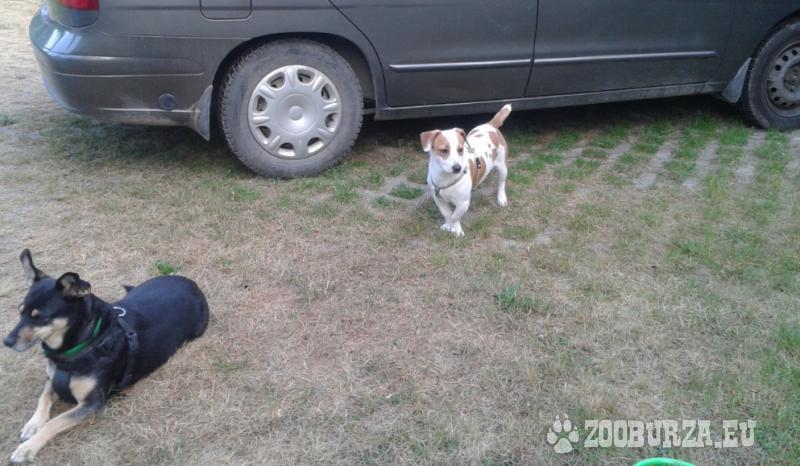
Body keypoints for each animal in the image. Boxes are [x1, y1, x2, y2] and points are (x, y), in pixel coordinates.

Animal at [4, 250, 209, 463]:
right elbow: (43, 398)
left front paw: (27, 448)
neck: (80, 346)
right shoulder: (52, 378)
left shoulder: (92, 403)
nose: (7, 341)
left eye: (40, 317)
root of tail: (191, 283)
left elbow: (55, 422)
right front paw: (32, 425)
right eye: (20, 312)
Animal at [420, 104, 512, 236]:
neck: (445, 177)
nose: (457, 168)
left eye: (460, 149)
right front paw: (447, 225)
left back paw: (501, 198)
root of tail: (490, 125)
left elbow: (455, 216)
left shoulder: (462, 203)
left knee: (501, 183)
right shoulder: (438, 199)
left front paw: (456, 229)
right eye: (443, 150)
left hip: (502, 166)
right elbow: (447, 214)